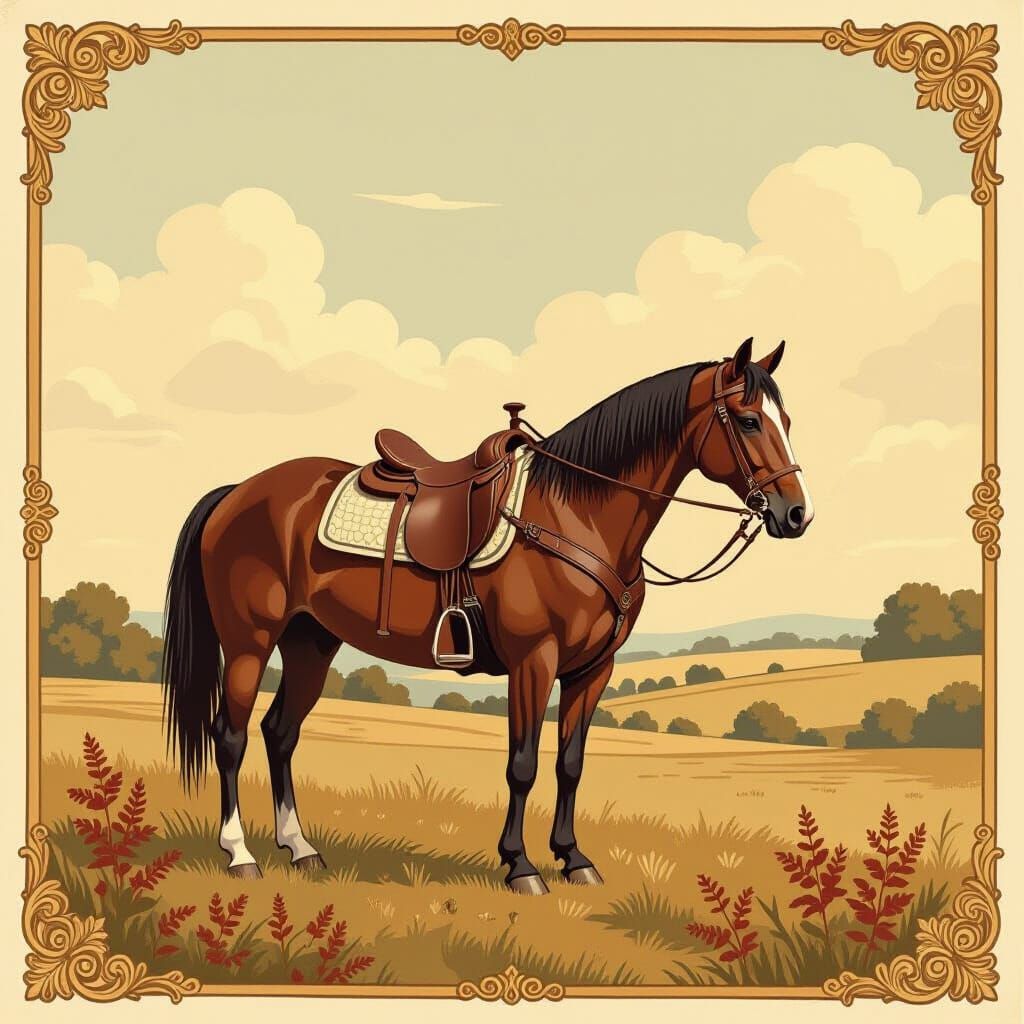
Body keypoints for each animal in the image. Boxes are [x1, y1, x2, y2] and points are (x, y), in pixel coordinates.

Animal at [161, 337, 812, 893]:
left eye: (786, 421)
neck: (574, 511)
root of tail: (238, 492)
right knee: (231, 736)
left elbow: (571, 764)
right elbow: (522, 764)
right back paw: (240, 853)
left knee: (281, 733)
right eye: (749, 420)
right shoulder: (534, 660)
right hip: (249, 642)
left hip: (310, 643)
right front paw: (520, 865)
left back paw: (300, 848)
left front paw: (574, 859)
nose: (796, 514)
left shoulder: (592, 669)